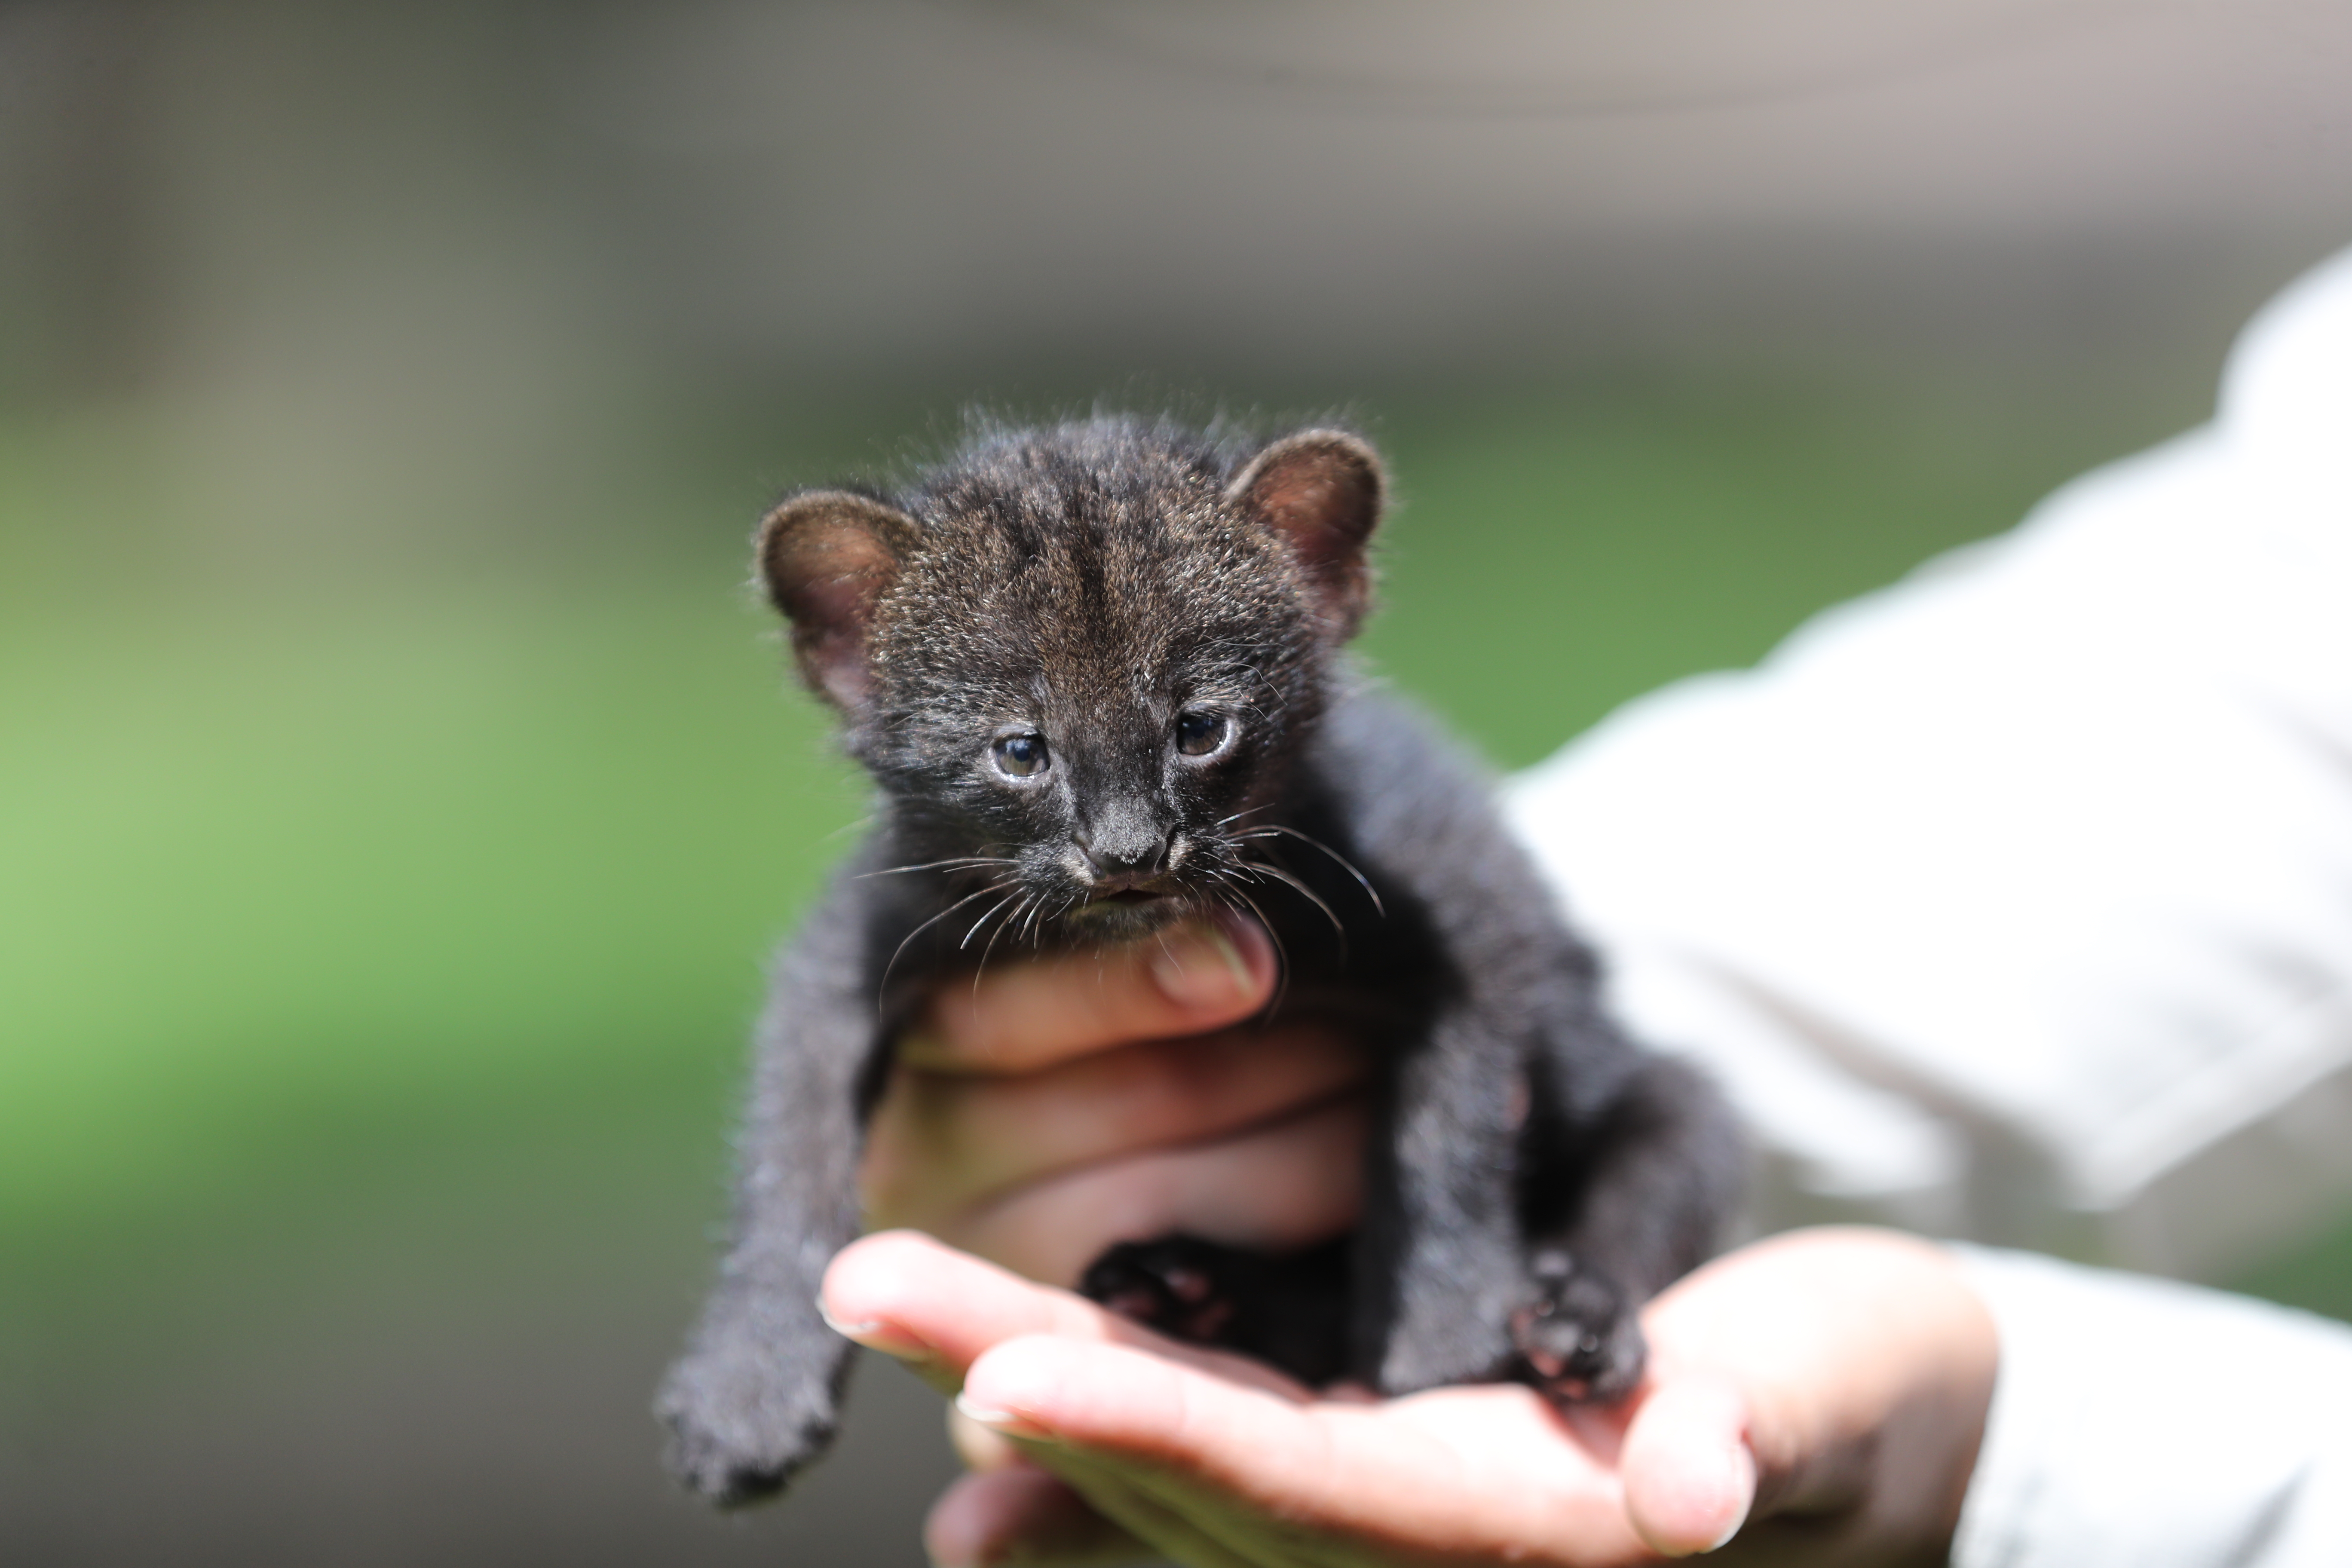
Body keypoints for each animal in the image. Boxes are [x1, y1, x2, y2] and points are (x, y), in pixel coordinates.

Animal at [654, 411, 1740, 1504]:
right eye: (1020, 750)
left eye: (1199, 728)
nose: (1129, 850)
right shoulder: (845, 958)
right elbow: (789, 1153)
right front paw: (748, 1389)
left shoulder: (1469, 924)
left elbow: (1447, 1137)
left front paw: (1440, 1336)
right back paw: (1188, 1291)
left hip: (1678, 1100)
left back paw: (1572, 1327)